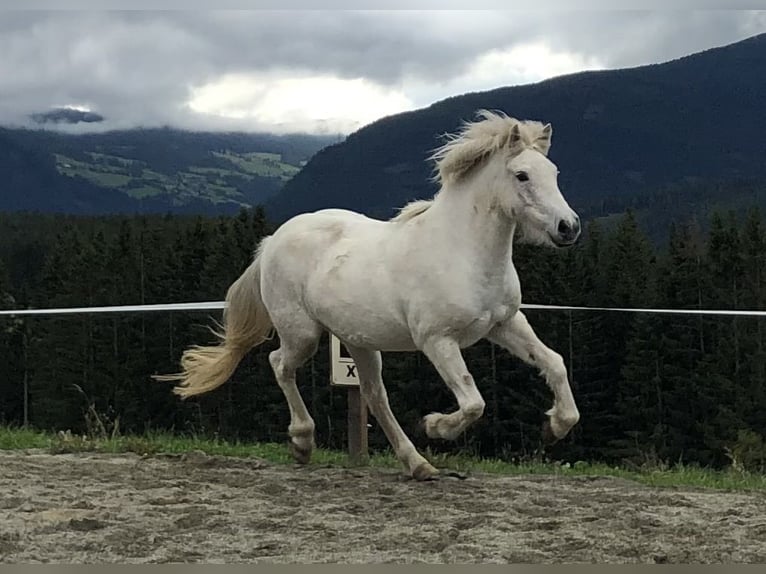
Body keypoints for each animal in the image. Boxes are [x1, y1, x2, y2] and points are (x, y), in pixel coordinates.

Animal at [160, 109, 584, 482]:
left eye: (554, 173)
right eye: (522, 175)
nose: (569, 227)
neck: (462, 251)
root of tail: (272, 241)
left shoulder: (505, 323)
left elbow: (555, 363)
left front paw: (555, 427)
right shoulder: (437, 340)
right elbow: (474, 402)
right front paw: (435, 427)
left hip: (359, 341)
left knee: (374, 396)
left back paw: (418, 465)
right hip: (302, 333)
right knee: (279, 363)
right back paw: (303, 442)